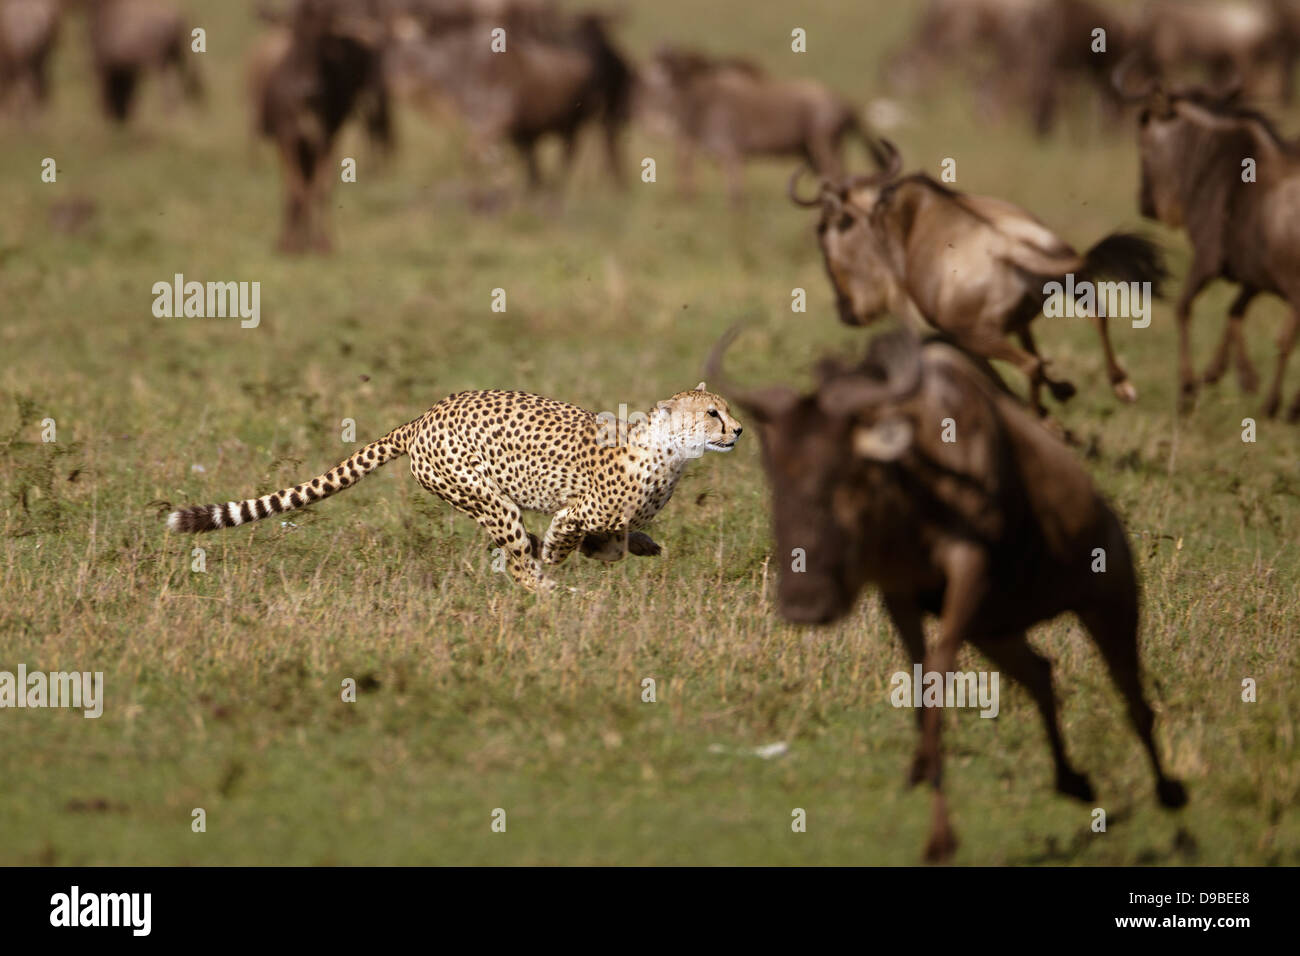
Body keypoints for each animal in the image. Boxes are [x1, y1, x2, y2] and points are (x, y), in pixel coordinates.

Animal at [167, 382, 748, 590]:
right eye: (712, 413)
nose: (740, 430)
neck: (668, 451)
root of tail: (426, 415)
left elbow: (614, 542)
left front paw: (643, 545)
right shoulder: (574, 512)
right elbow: (566, 539)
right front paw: (558, 560)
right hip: (482, 494)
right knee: (519, 564)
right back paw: (546, 590)